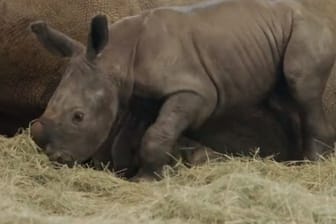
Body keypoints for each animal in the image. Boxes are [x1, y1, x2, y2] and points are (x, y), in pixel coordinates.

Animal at [28, 0, 336, 179]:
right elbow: (130, 136)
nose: (58, 159)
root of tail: (321, 15)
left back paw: (314, 164)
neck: (115, 57)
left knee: (302, 88)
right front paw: (131, 171)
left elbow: (156, 134)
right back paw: (293, 162)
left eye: (78, 117)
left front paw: (147, 179)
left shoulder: (195, 93)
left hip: (308, 30)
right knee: (283, 102)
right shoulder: (142, 97)